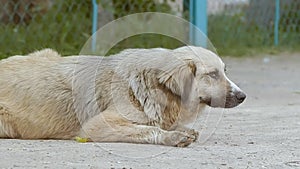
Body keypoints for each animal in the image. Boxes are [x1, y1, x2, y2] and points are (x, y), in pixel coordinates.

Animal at [0, 46, 245, 147]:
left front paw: (182, 130)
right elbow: (148, 129)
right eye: (212, 74)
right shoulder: (96, 126)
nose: (243, 96)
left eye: (224, 71)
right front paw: (172, 137)